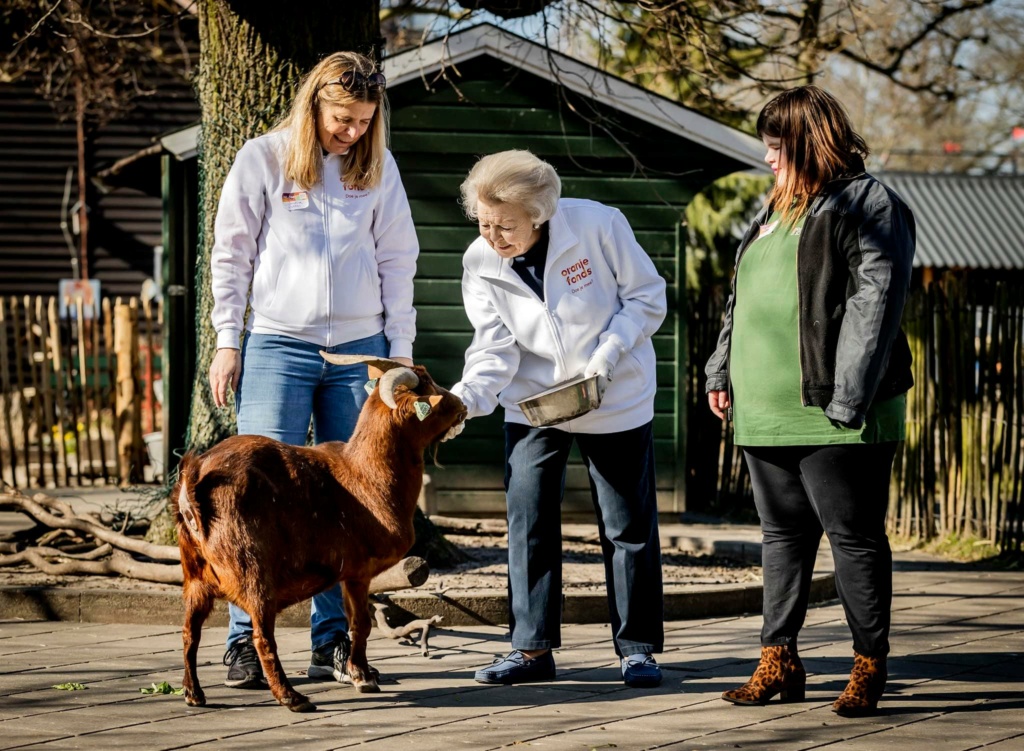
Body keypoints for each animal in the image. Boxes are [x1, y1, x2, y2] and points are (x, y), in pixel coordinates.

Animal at [173, 356, 468, 708]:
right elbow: (362, 624)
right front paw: (363, 678)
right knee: (262, 637)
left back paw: (194, 694)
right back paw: (291, 697)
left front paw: (358, 672)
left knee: (190, 632)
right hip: (252, 569)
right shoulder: (359, 571)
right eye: (429, 389)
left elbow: (354, 623)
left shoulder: (346, 574)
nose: (463, 406)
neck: (366, 474)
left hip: (195, 578)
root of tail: (194, 482)